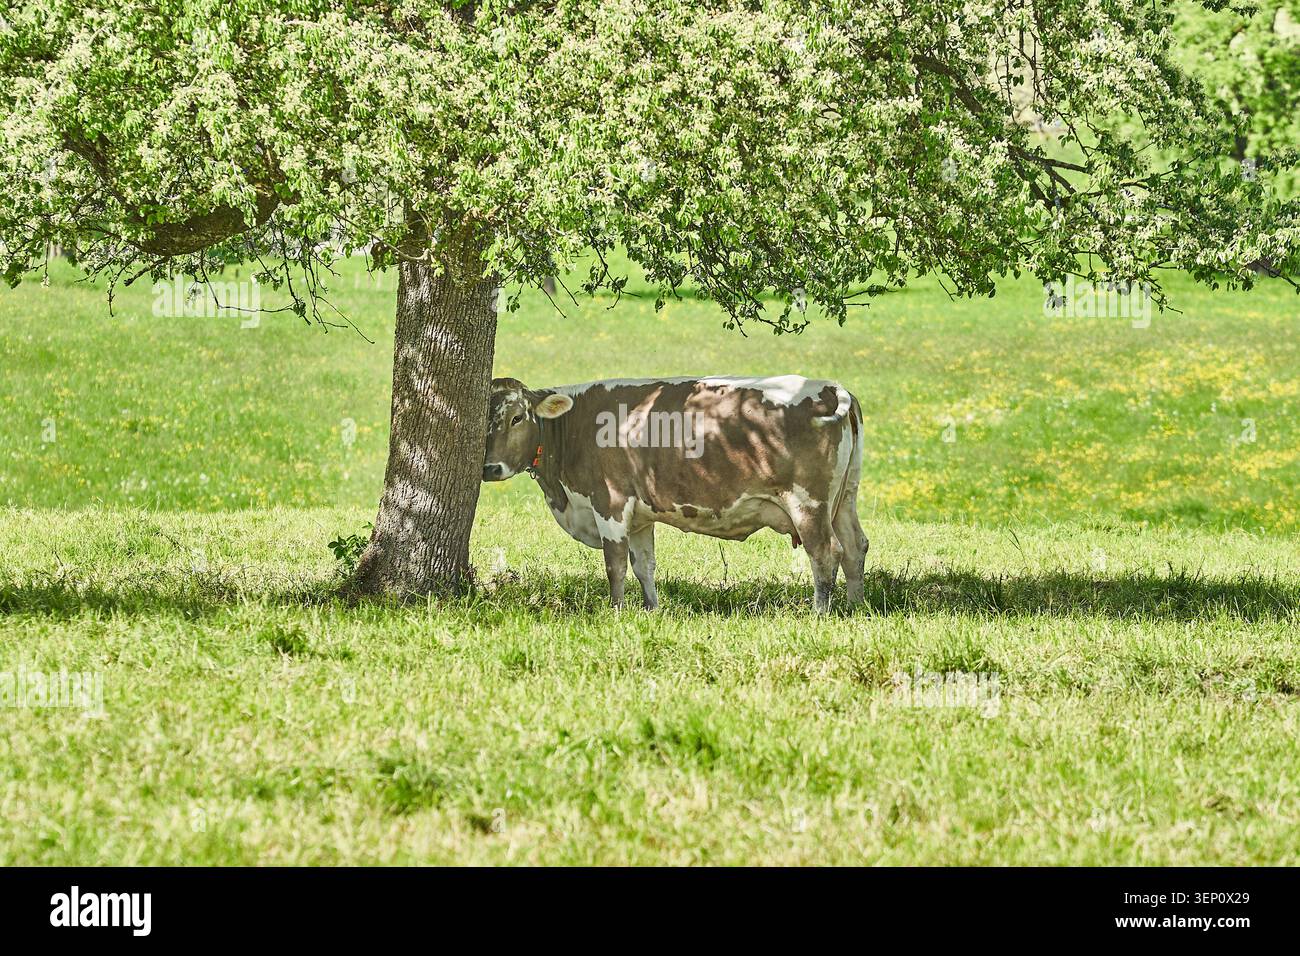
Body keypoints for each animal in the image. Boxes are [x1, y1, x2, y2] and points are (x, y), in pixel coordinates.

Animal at [481, 375, 868, 612]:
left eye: (517, 417)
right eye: (482, 419)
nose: (489, 468)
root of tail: (830, 386)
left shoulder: (610, 502)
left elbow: (615, 564)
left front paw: (616, 611)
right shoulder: (639, 517)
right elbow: (644, 565)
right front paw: (650, 609)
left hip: (808, 503)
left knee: (825, 552)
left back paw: (820, 613)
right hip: (845, 498)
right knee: (855, 546)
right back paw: (854, 606)